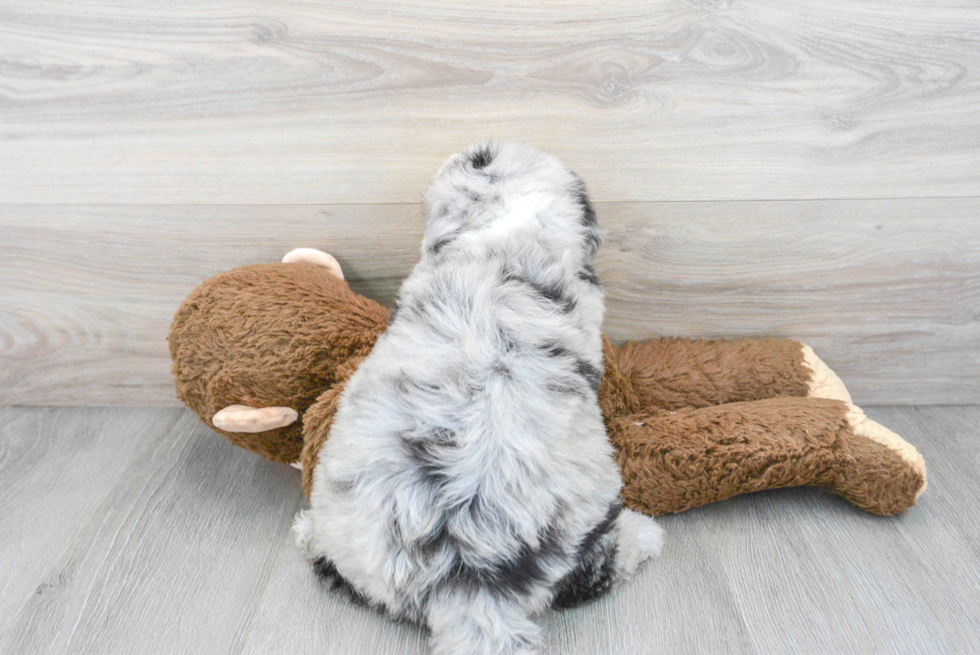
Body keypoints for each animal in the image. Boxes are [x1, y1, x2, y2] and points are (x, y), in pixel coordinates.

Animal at [290, 141, 660, 652]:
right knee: (597, 569)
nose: (473, 150)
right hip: (585, 522)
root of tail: (466, 581)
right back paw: (646, 534)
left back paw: (308, 532)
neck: (506, 230)